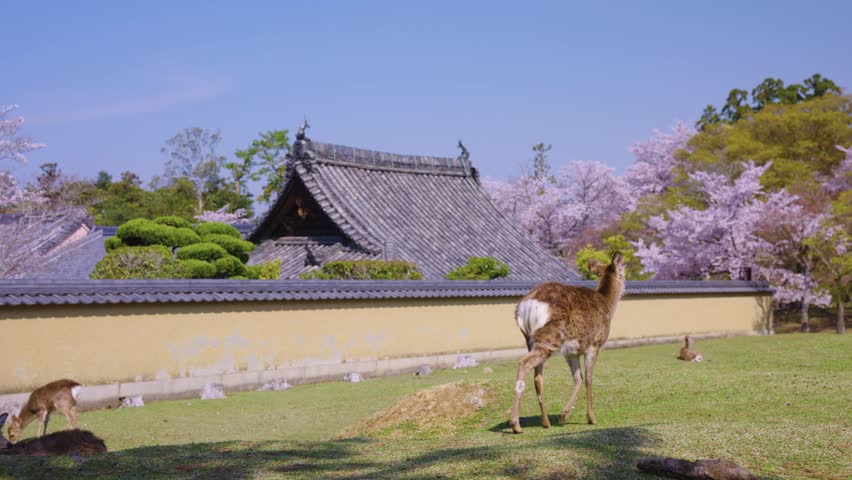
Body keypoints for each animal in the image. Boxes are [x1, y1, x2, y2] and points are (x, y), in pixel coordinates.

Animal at [509, 251, 626, 434]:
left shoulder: (571, 351)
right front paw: (591, 418)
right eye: (624, 269)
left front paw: (563, 416)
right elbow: (589, 378)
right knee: (524, 364)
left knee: (537, 376)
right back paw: (516, 424)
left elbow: (578, 378)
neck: (607, 305)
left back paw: (546, 422)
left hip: (529, 339)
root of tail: (527, 305)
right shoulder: (595, 344)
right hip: (550, 338)